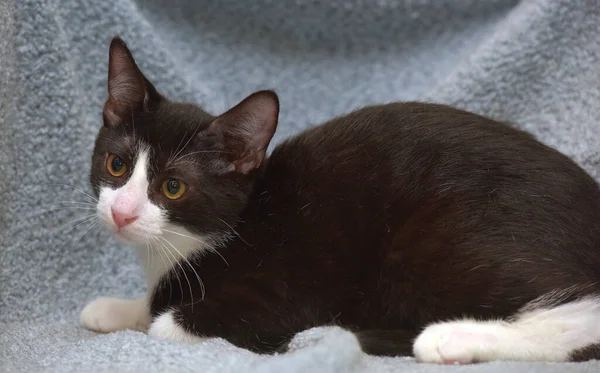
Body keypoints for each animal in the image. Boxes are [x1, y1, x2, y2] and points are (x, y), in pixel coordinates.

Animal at [79, 36, 600, 362]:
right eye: (117, 165)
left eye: (173, 187)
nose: (122, 213)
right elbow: (150, 305)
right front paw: (113, 308)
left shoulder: (289, 290)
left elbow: (165, 322)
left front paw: (147, 313)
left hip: (436, 244)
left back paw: (449, 338)